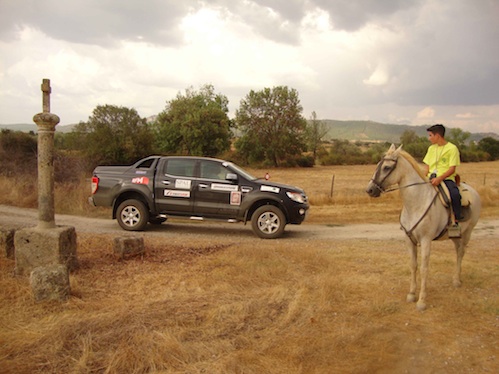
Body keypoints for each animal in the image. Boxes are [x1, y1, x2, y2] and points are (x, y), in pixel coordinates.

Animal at [368, 143, 480, 310]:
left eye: (387, 167)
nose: (369, 190)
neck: (416, 203)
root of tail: (473, 191)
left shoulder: (426, 240)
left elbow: (423, 268)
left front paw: (421, 301)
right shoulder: (409, 240)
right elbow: (413, 265)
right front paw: (411, 294)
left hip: (468, 232)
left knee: (461, 253)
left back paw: (457, 281)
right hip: (455, 235)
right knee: (457, 251)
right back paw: (455, 278)